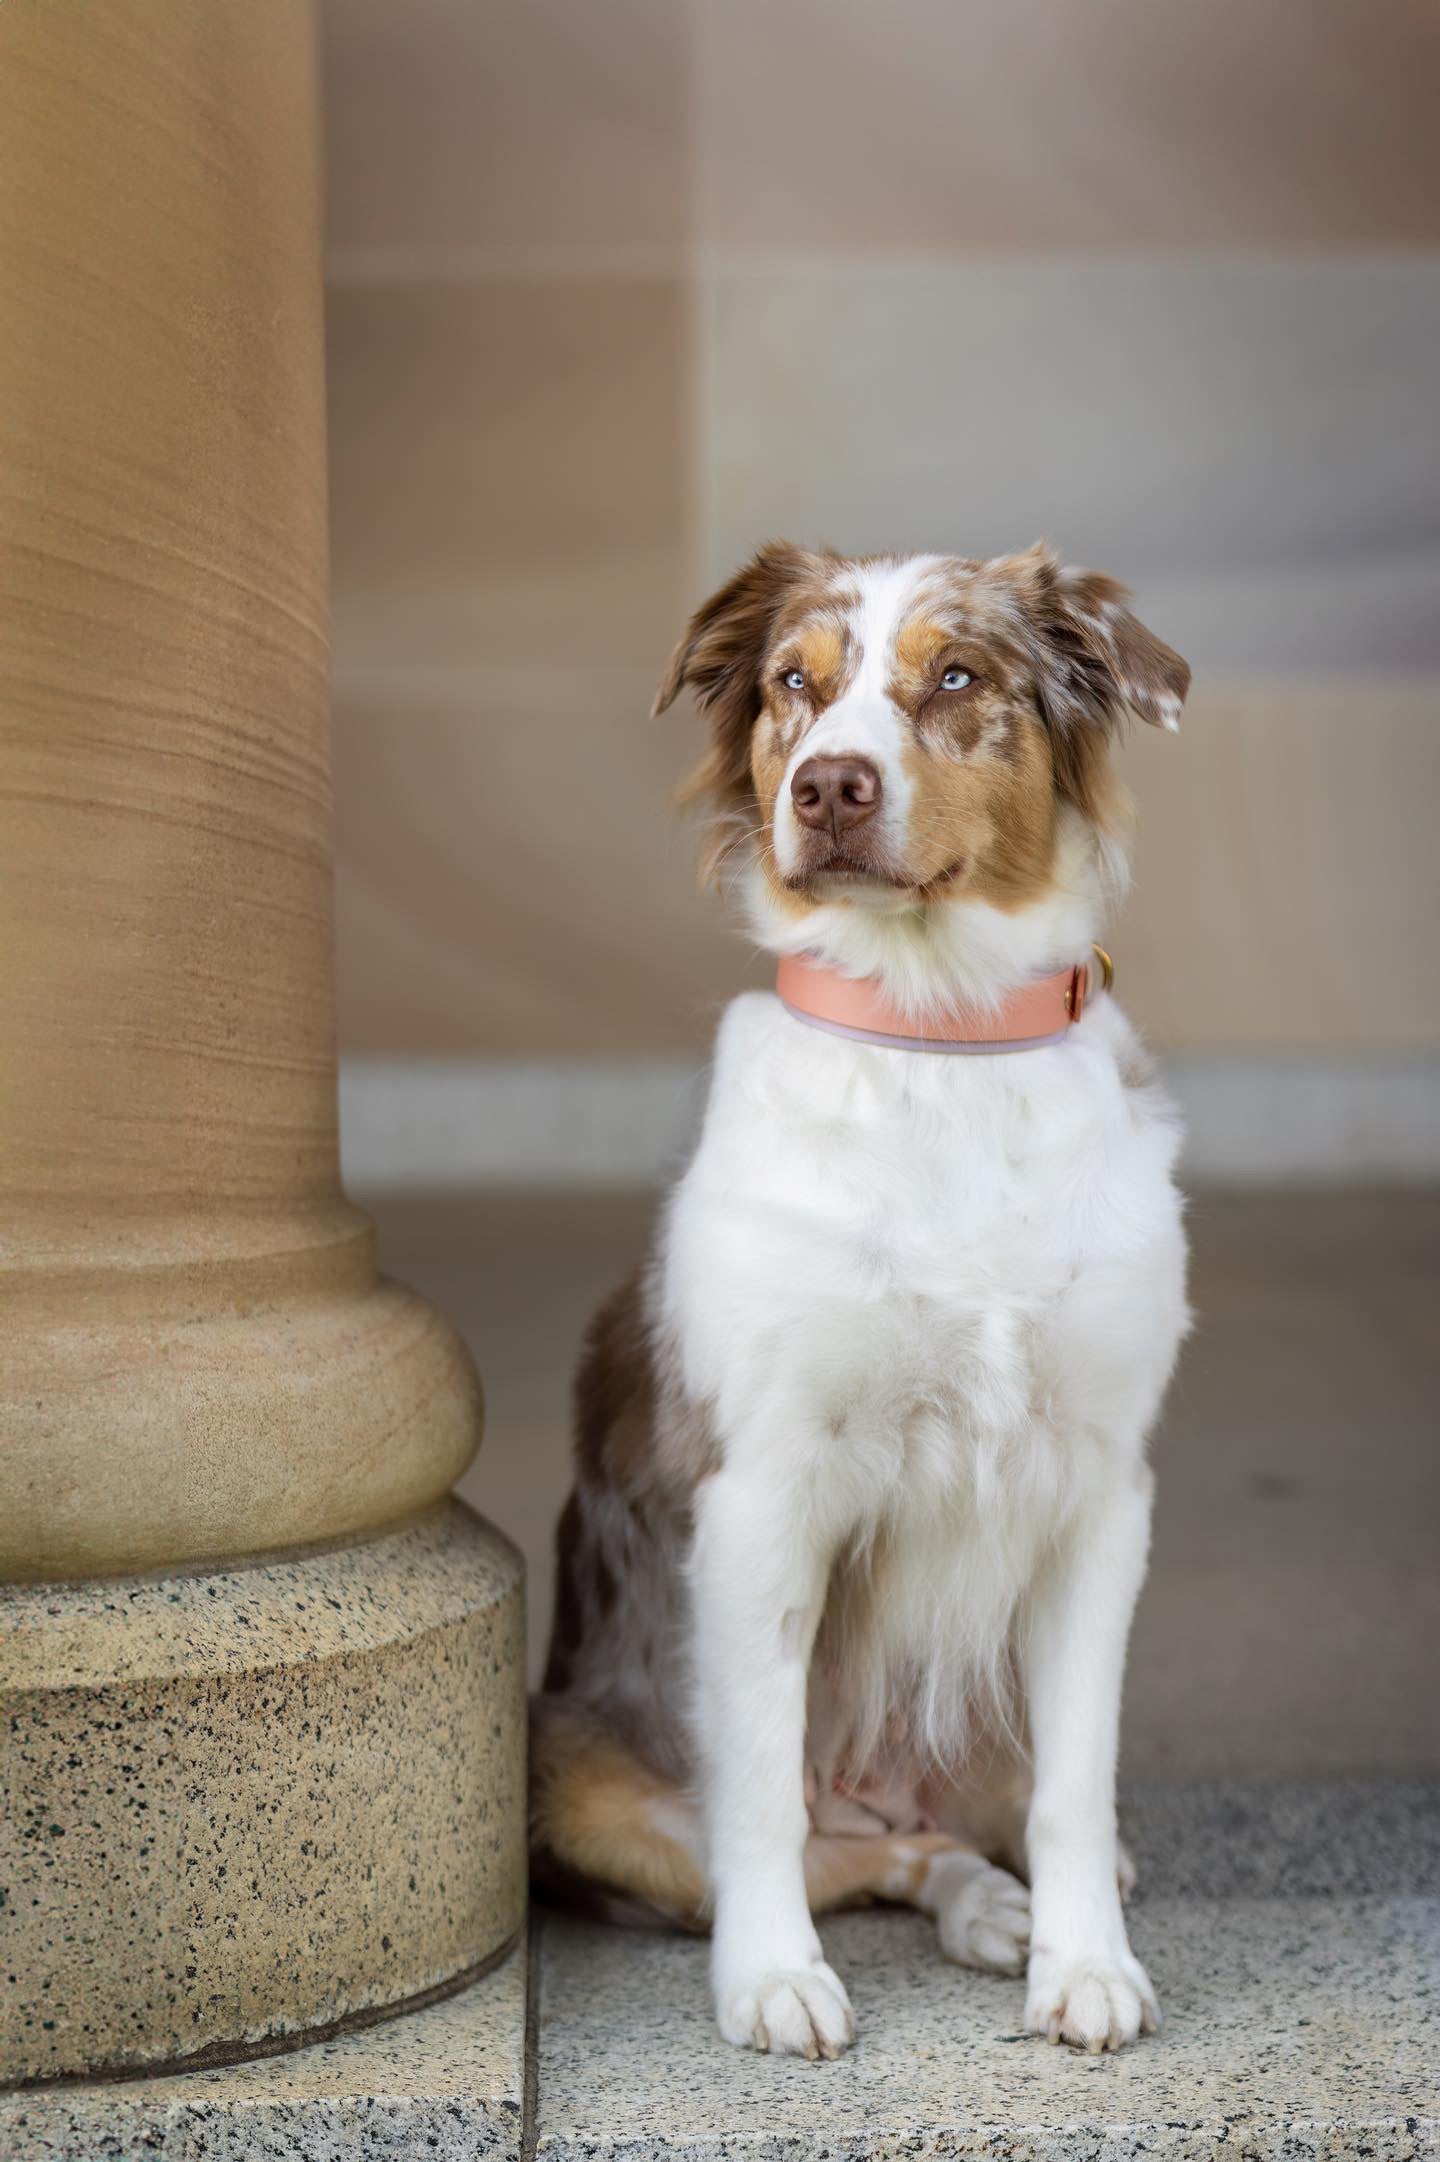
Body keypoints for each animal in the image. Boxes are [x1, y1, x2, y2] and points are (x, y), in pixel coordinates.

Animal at [527, 540, 1184, 2058]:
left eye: (957, 676)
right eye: (792, 684)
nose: (827, 785)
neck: (938, 1039)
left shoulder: (1100, 1489)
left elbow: (1078, 1785)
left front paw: (1084, 1962)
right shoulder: (763, 1489)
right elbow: (763, 1794)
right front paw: (772, 1976)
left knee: (964, 1822)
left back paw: (1003, 1908)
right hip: (568, 1778)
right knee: (852, 1849)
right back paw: (958, 1906)